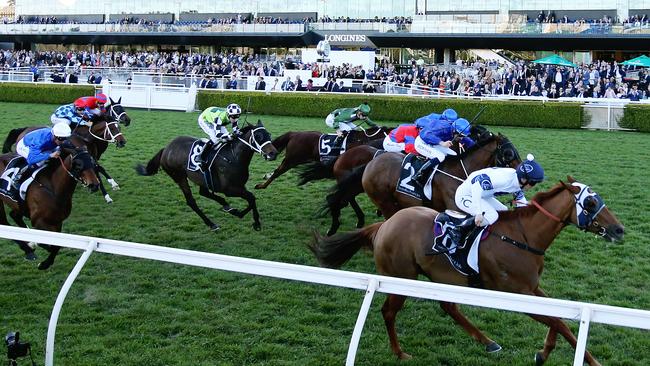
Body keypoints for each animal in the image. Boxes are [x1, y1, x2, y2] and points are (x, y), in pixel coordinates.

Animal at [0, 137, 100, 268]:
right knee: (4, 222)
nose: (95, 185)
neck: (54, 189)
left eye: (92, 161)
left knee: (14, 216)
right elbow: (48, 244)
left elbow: (57, 245)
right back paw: (28, 249)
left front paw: (45, 262)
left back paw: (29, 249)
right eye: (78, 164)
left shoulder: (57, 221)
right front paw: (42, 256)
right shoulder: (38, 221)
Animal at [251, 126, 388, 189]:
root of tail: (294, 134)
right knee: (278, 171)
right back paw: (262, 185)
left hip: (298, 159)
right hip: (292, 159)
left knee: (277, 170)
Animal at [308, 177, 624, 364]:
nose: (619, 230)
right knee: (388, 312)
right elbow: (557, 321)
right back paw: (400, 352)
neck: (523, 236)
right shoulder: (514, 291)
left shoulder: (532, 288)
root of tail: (384, 225)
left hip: (440, 277)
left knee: (448, 307)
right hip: (401, 277)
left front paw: (544, 352)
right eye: (591, 202)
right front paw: (590, 361)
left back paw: (488, 342)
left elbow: (560, 319)